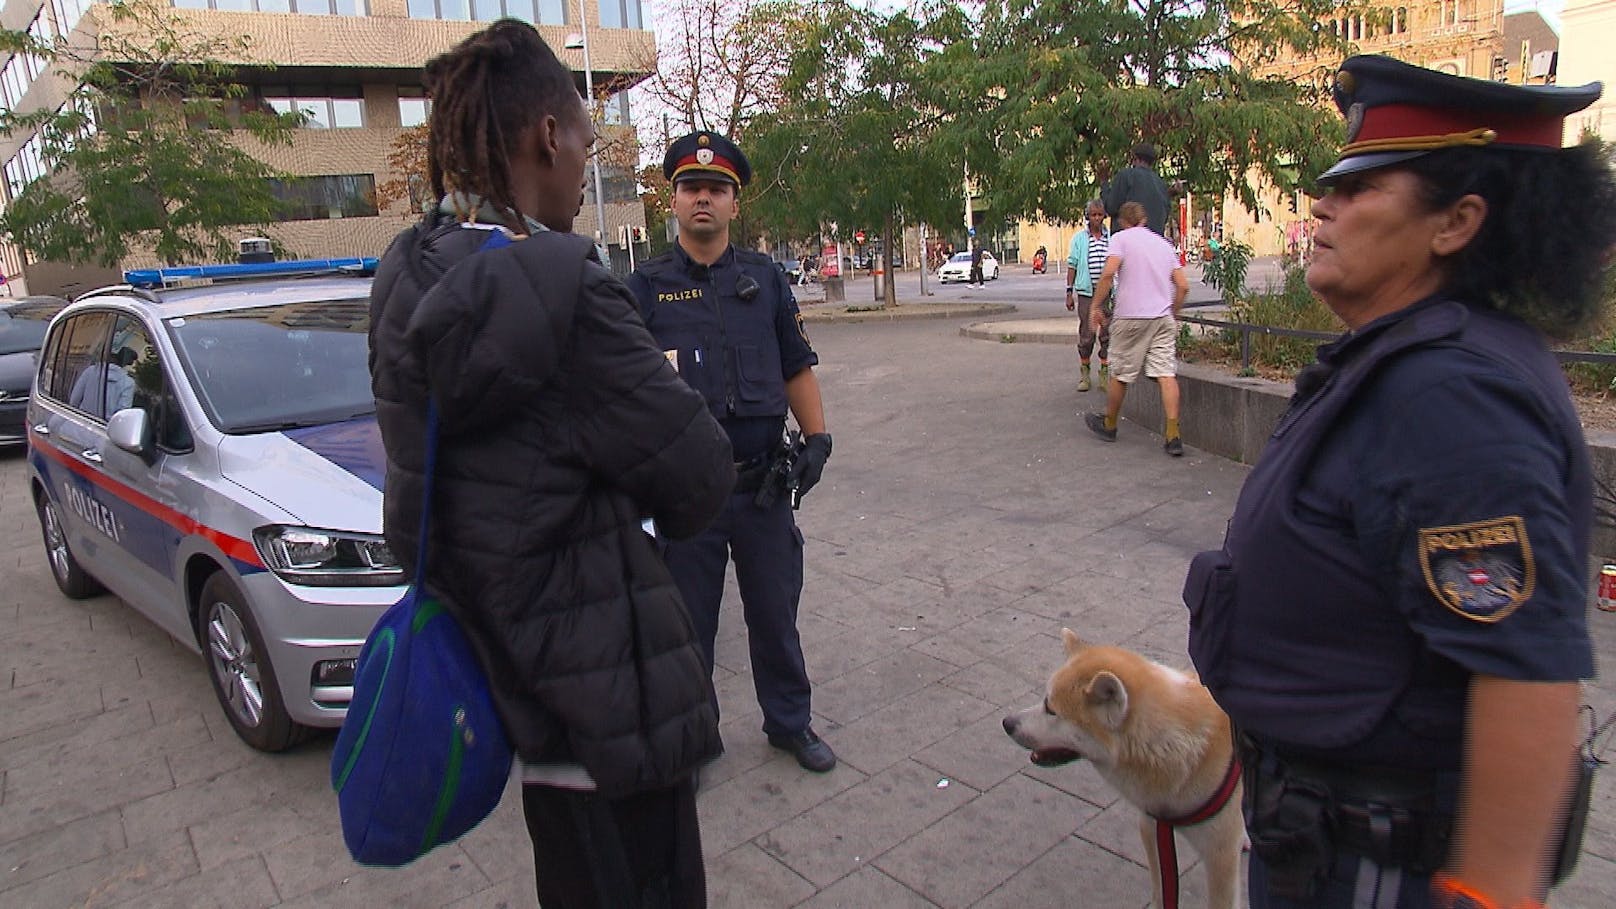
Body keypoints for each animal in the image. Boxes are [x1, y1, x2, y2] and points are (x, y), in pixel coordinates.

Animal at [1001, 627, 1241, 905]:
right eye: (1045, 699)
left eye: (1050, 709)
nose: (1007, 723)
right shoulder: (1152, 828)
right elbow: (1161, 893)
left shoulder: (1221, 856)